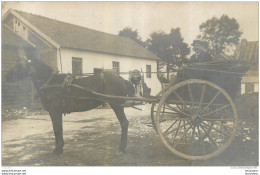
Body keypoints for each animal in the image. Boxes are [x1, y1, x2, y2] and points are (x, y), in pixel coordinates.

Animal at [5, 55, 135, 155]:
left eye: (20, 65)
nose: (7, 76)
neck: (51, 82)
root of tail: (122, 80)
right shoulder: (57, 112)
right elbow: (59, 129)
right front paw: (60, 148)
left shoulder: (54, 112)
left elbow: (57, 130)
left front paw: (57, 150)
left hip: (116, 105)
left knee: (124, 123)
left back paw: (122, 147)